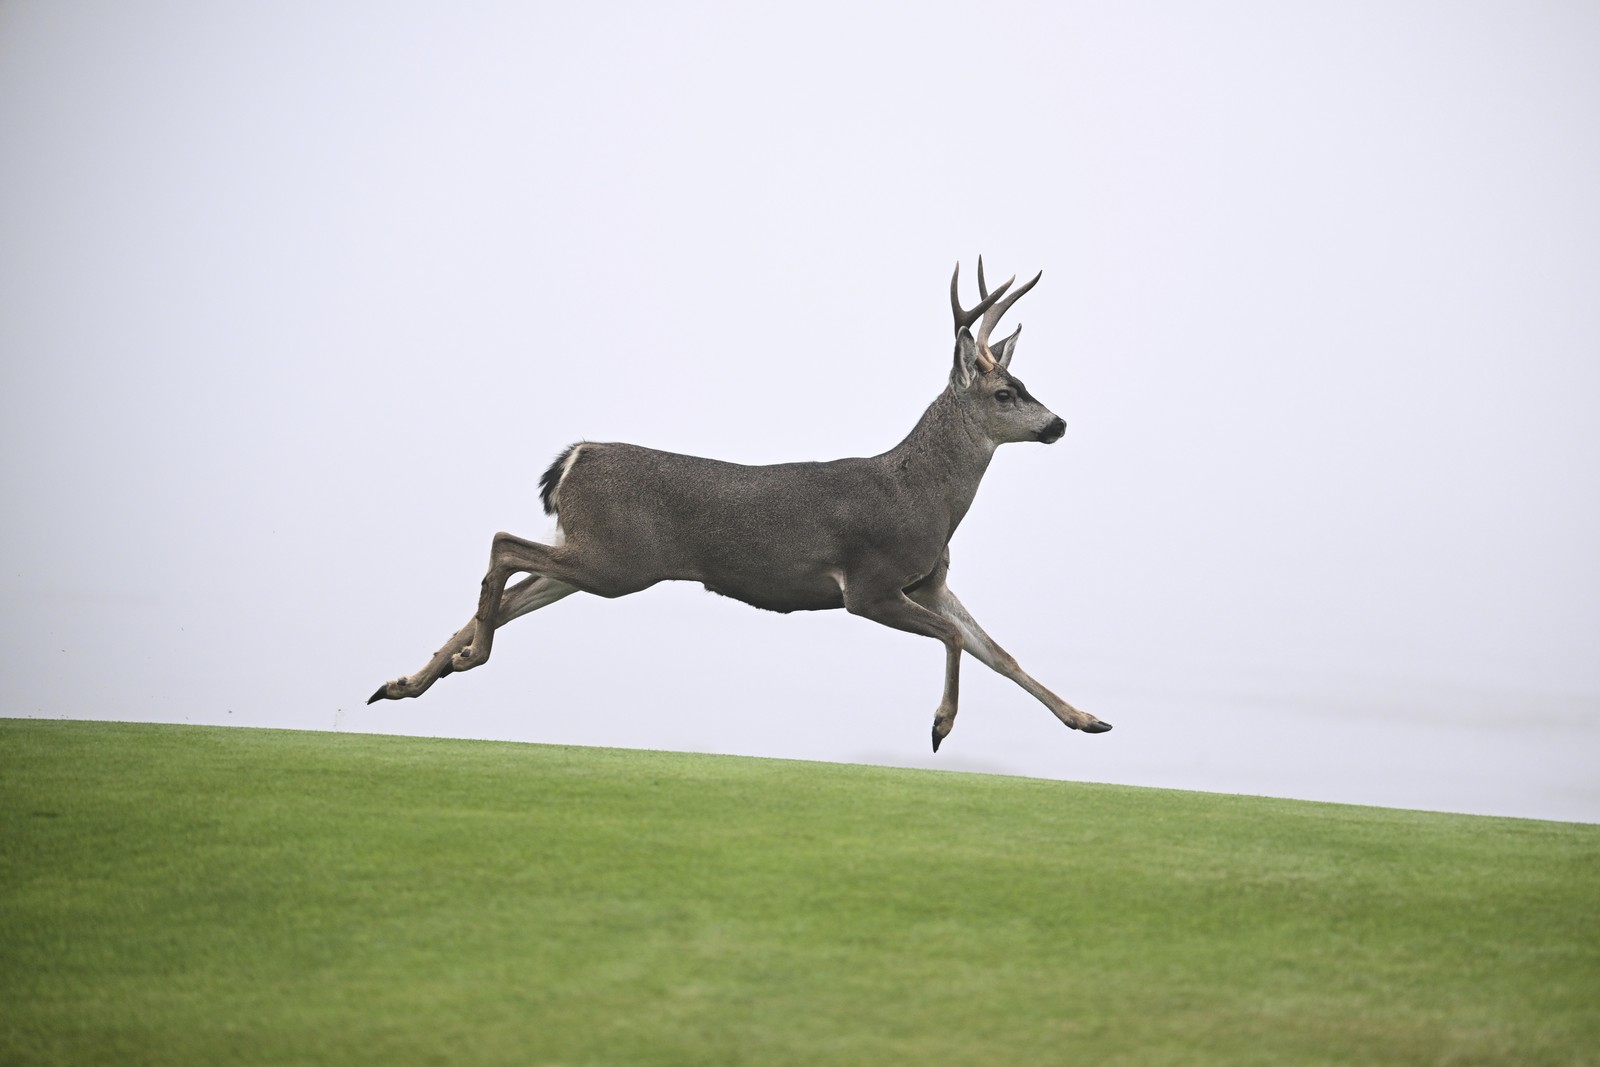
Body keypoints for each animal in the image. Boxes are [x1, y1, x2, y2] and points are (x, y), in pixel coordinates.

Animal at [367, 259, 1112, 751]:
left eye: (1024, 382)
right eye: (1005, 393)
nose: (1058, 424)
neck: (920, 495)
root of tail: (573, 458)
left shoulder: (928, 581)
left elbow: (1000, 652)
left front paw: (1087, 719)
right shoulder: (867, 585)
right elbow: (959, 639)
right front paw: (939, 725)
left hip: (592, 558)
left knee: (509, 585)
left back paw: (408, 681)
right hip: (616, 560)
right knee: (501, 544)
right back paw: (462, 662)